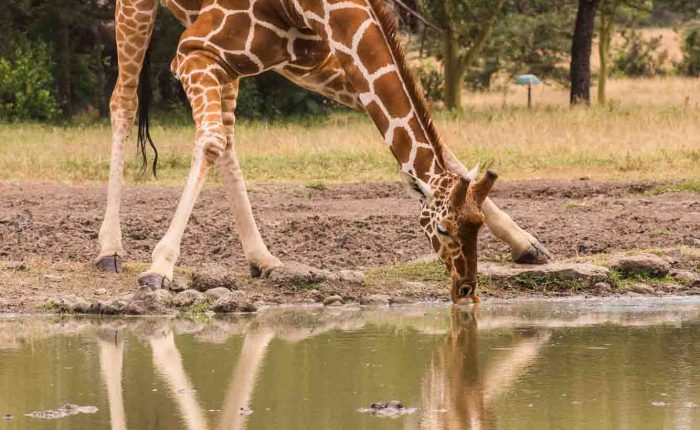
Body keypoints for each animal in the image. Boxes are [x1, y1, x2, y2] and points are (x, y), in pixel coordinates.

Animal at [94, 0, 552, 302]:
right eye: (440, 230)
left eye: (476, 227)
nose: (466, 288)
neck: (318, 10)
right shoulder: (194, 50)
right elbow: (207, 140)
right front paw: (158, 268)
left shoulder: (315, 61)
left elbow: (445, 154)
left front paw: (528, 244)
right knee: (124, 101)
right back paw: (109, 251)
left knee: (227, 129)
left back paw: (264, 259)